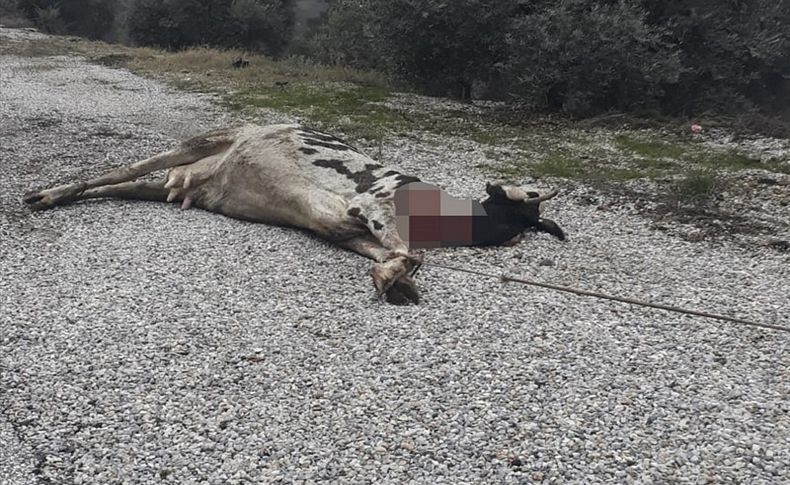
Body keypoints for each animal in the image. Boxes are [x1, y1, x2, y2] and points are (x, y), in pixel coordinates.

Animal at [24, 123, 568, 302]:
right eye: (524, 196)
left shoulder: (346, 229)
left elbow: (399, 257)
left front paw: (394, 279)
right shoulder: (372, 203)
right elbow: (412, 253)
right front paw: (395, 277)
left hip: (165, 187)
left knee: (126, 185)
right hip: (193, 145)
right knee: (113, 172)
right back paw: (48, 195)